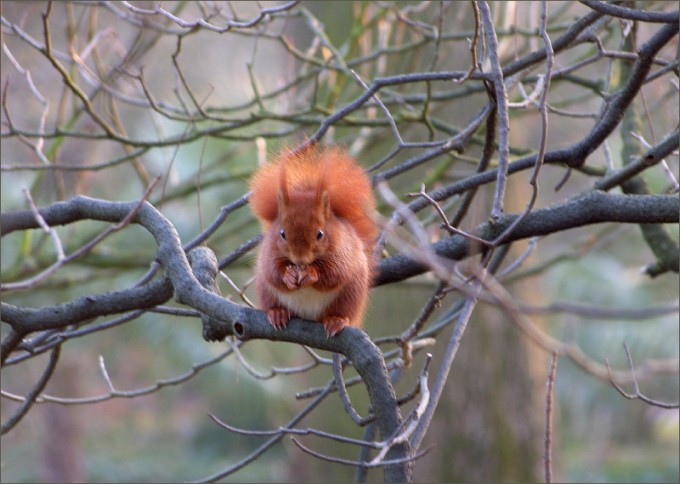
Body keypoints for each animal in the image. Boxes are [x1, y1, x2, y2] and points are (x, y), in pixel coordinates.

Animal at [249, 145, 378, 337]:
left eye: (320, 234)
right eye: (282, 233)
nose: (300, 260)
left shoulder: (344, 250)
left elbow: (335, 272)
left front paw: (311, 273)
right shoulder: (268, 252)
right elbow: (272, 272)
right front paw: (288, 275)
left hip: (350, 294)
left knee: (340, 310)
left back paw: (336, 320)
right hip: (266, 291)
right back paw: (278, 313)